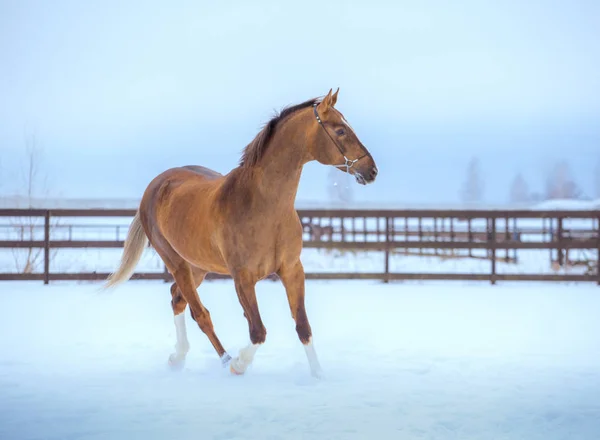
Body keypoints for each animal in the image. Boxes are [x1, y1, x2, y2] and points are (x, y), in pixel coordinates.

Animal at [102, 89, 376, 378]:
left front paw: (318, 375)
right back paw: (220, 359)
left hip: (197, 266)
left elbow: (303, 326)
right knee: (199, 313)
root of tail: (155, 185)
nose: (371, 170)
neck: (264, 206)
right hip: (176, 263)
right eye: (340, 130)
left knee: (177, 299)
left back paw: (179, 358)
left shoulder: (292, 270)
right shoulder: (243, 278)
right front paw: (239, 364)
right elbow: (257, 330)